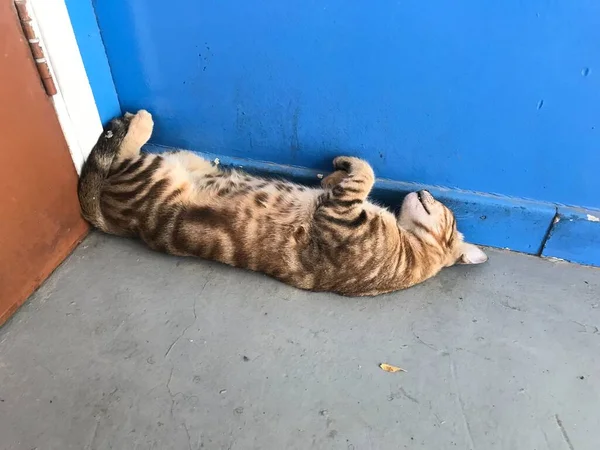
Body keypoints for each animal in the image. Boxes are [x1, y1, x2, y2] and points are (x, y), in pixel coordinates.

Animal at [78, 110, 488, 298]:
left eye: (446, 212)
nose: (428, 193)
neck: (412, 247)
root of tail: (117, 222)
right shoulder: (340, 206)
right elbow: (358, 177)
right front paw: (332, 175)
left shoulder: (339, 217)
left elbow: (367, 173)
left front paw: (345, 168)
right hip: (180, 162)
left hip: (146, 177)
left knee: (119, 157)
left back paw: (138, 123)